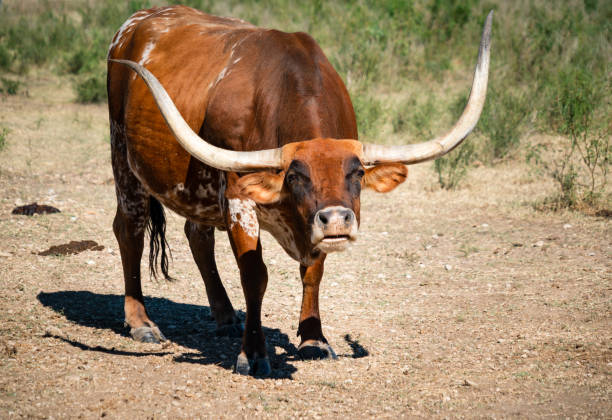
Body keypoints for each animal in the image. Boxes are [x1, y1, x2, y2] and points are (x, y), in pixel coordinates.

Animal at [107, 5, 492, 374]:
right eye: (295, 177)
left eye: (357, 173)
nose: (336, 219)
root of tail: (138, 21)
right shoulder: (237, 199)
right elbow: (255, 275)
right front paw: (253, 353)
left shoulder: (308, 227)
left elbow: (313, 271)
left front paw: (313, 339)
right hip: (123, 158)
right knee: (130, 230)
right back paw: (141, 322)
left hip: (197, 191)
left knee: (197, 236)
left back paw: (226, 316)